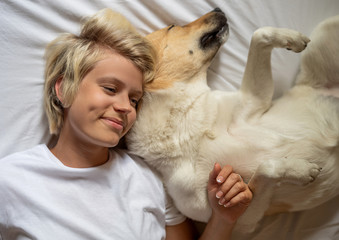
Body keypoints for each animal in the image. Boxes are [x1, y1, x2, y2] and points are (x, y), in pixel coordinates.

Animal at [125, 8, 339, 232]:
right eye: (172, 27)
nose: (218, 9)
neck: (187, 128)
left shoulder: (254, 101)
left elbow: (259, 34)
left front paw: (292, 39)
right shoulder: (243, 219)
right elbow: (266, 168)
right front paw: (302, 171)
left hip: (327, 29)